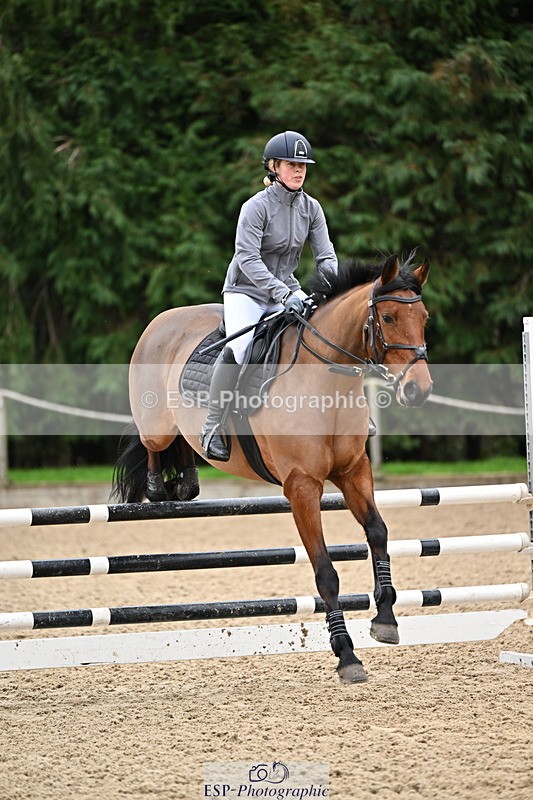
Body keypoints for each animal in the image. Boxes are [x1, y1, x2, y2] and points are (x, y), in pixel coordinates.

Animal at [113, 254, 432, 683]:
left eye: (424, 317)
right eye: (389, 317)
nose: (419, 390)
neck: (326, 382)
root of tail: (163, 319)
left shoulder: (354, 471)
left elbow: (378, 533)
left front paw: (385, 620)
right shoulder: (302, 487)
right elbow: (326, 572)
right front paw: (347, 655)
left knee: (184, 446)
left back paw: (187, 483)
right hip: (156, 427)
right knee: (153, 445)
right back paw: (158, 487)